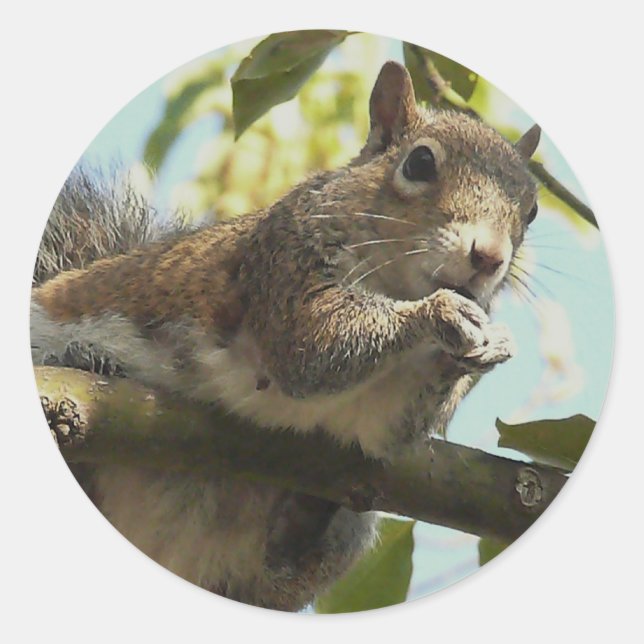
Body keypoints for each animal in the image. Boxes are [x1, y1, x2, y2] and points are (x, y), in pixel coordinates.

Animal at [31, 61, 541, 611]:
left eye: (532, 209)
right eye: (420, 162)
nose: (489, 258)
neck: (394, 281)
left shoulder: (382, 416)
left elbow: (391, 429)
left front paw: (487, 348)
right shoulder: (281, 264)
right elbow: (313, 347)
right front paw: (436, 312)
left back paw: (302, 522)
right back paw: (90, 360)